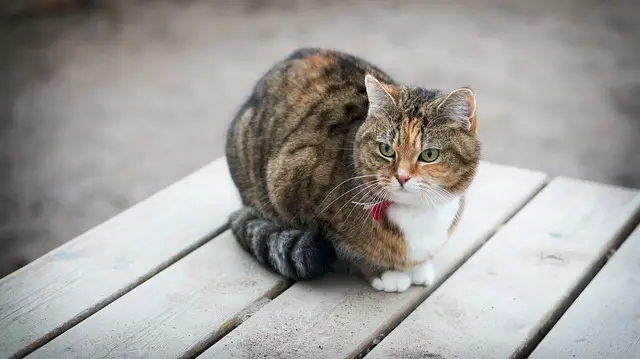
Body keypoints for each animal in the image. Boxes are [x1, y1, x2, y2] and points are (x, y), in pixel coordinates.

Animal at [225, 47, 480, 294]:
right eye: (386, 149)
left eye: (429, 155)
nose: (402, 177)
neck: (417, 212)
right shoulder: (293, 187)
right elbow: (349, 251)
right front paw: (385, 272)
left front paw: (419, 267)